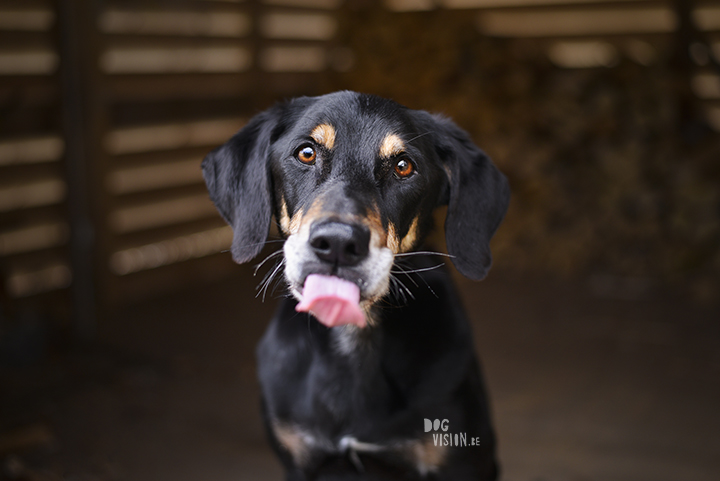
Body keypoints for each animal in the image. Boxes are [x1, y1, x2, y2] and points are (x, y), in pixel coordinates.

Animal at [200, 89, 510, 476]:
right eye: (306, 153)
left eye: (404, 166)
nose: (337, 243)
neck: (352, 346)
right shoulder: (298, 459)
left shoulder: (464, 460)